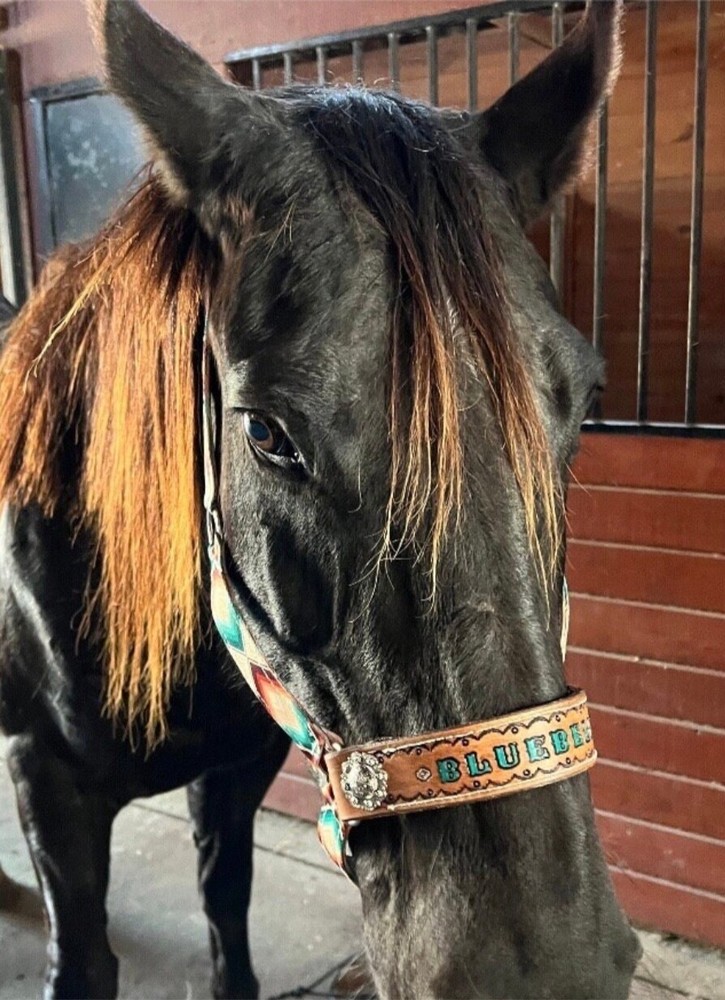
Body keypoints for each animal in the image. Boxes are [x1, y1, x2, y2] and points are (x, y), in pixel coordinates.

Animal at [0, 0, 641, 996]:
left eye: (581, 398)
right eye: (266, 433)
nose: (544, 969)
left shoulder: (237, 767)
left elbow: (226, 906)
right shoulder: (47, 784)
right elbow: (87, 957)